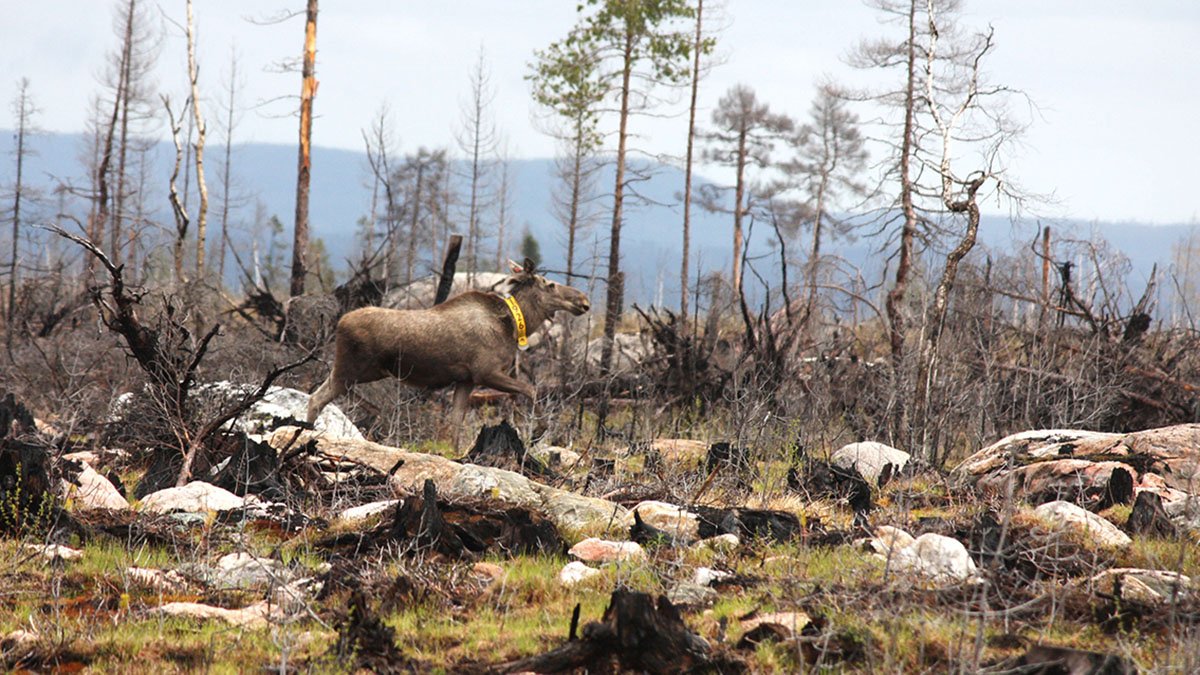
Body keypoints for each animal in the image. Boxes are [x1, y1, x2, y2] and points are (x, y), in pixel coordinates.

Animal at [304, 258, 590, 422]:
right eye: (549, 284)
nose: (583, 300)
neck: (512, 326)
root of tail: (340, 323)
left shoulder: (466, 381)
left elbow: (455, 426)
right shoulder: (486, 373)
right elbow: (531, 390)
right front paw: (539, 428)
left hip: (353, 371)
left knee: (316, 396)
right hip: (352, 370)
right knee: (320, 398)